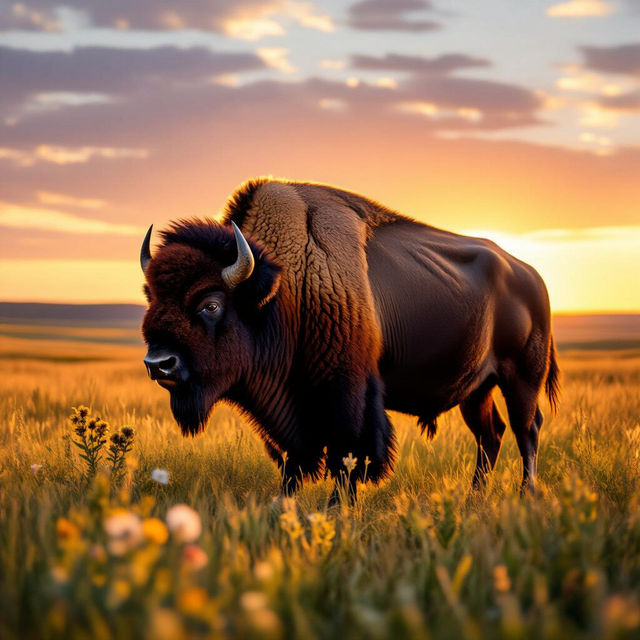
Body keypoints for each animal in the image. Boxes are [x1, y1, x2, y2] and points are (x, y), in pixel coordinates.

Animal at [141, 179, 559, 498]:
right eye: (151, 297)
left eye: (210, 304)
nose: (158, 364)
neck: (284, 292)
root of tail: (532, 276)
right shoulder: (294, 415)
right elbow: (293, 466)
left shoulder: (349, 399)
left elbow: (348, 462)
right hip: (476, 390)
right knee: (491, 435)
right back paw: (474, 498)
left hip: (521, 379)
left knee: (526, 430)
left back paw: (527, 495)